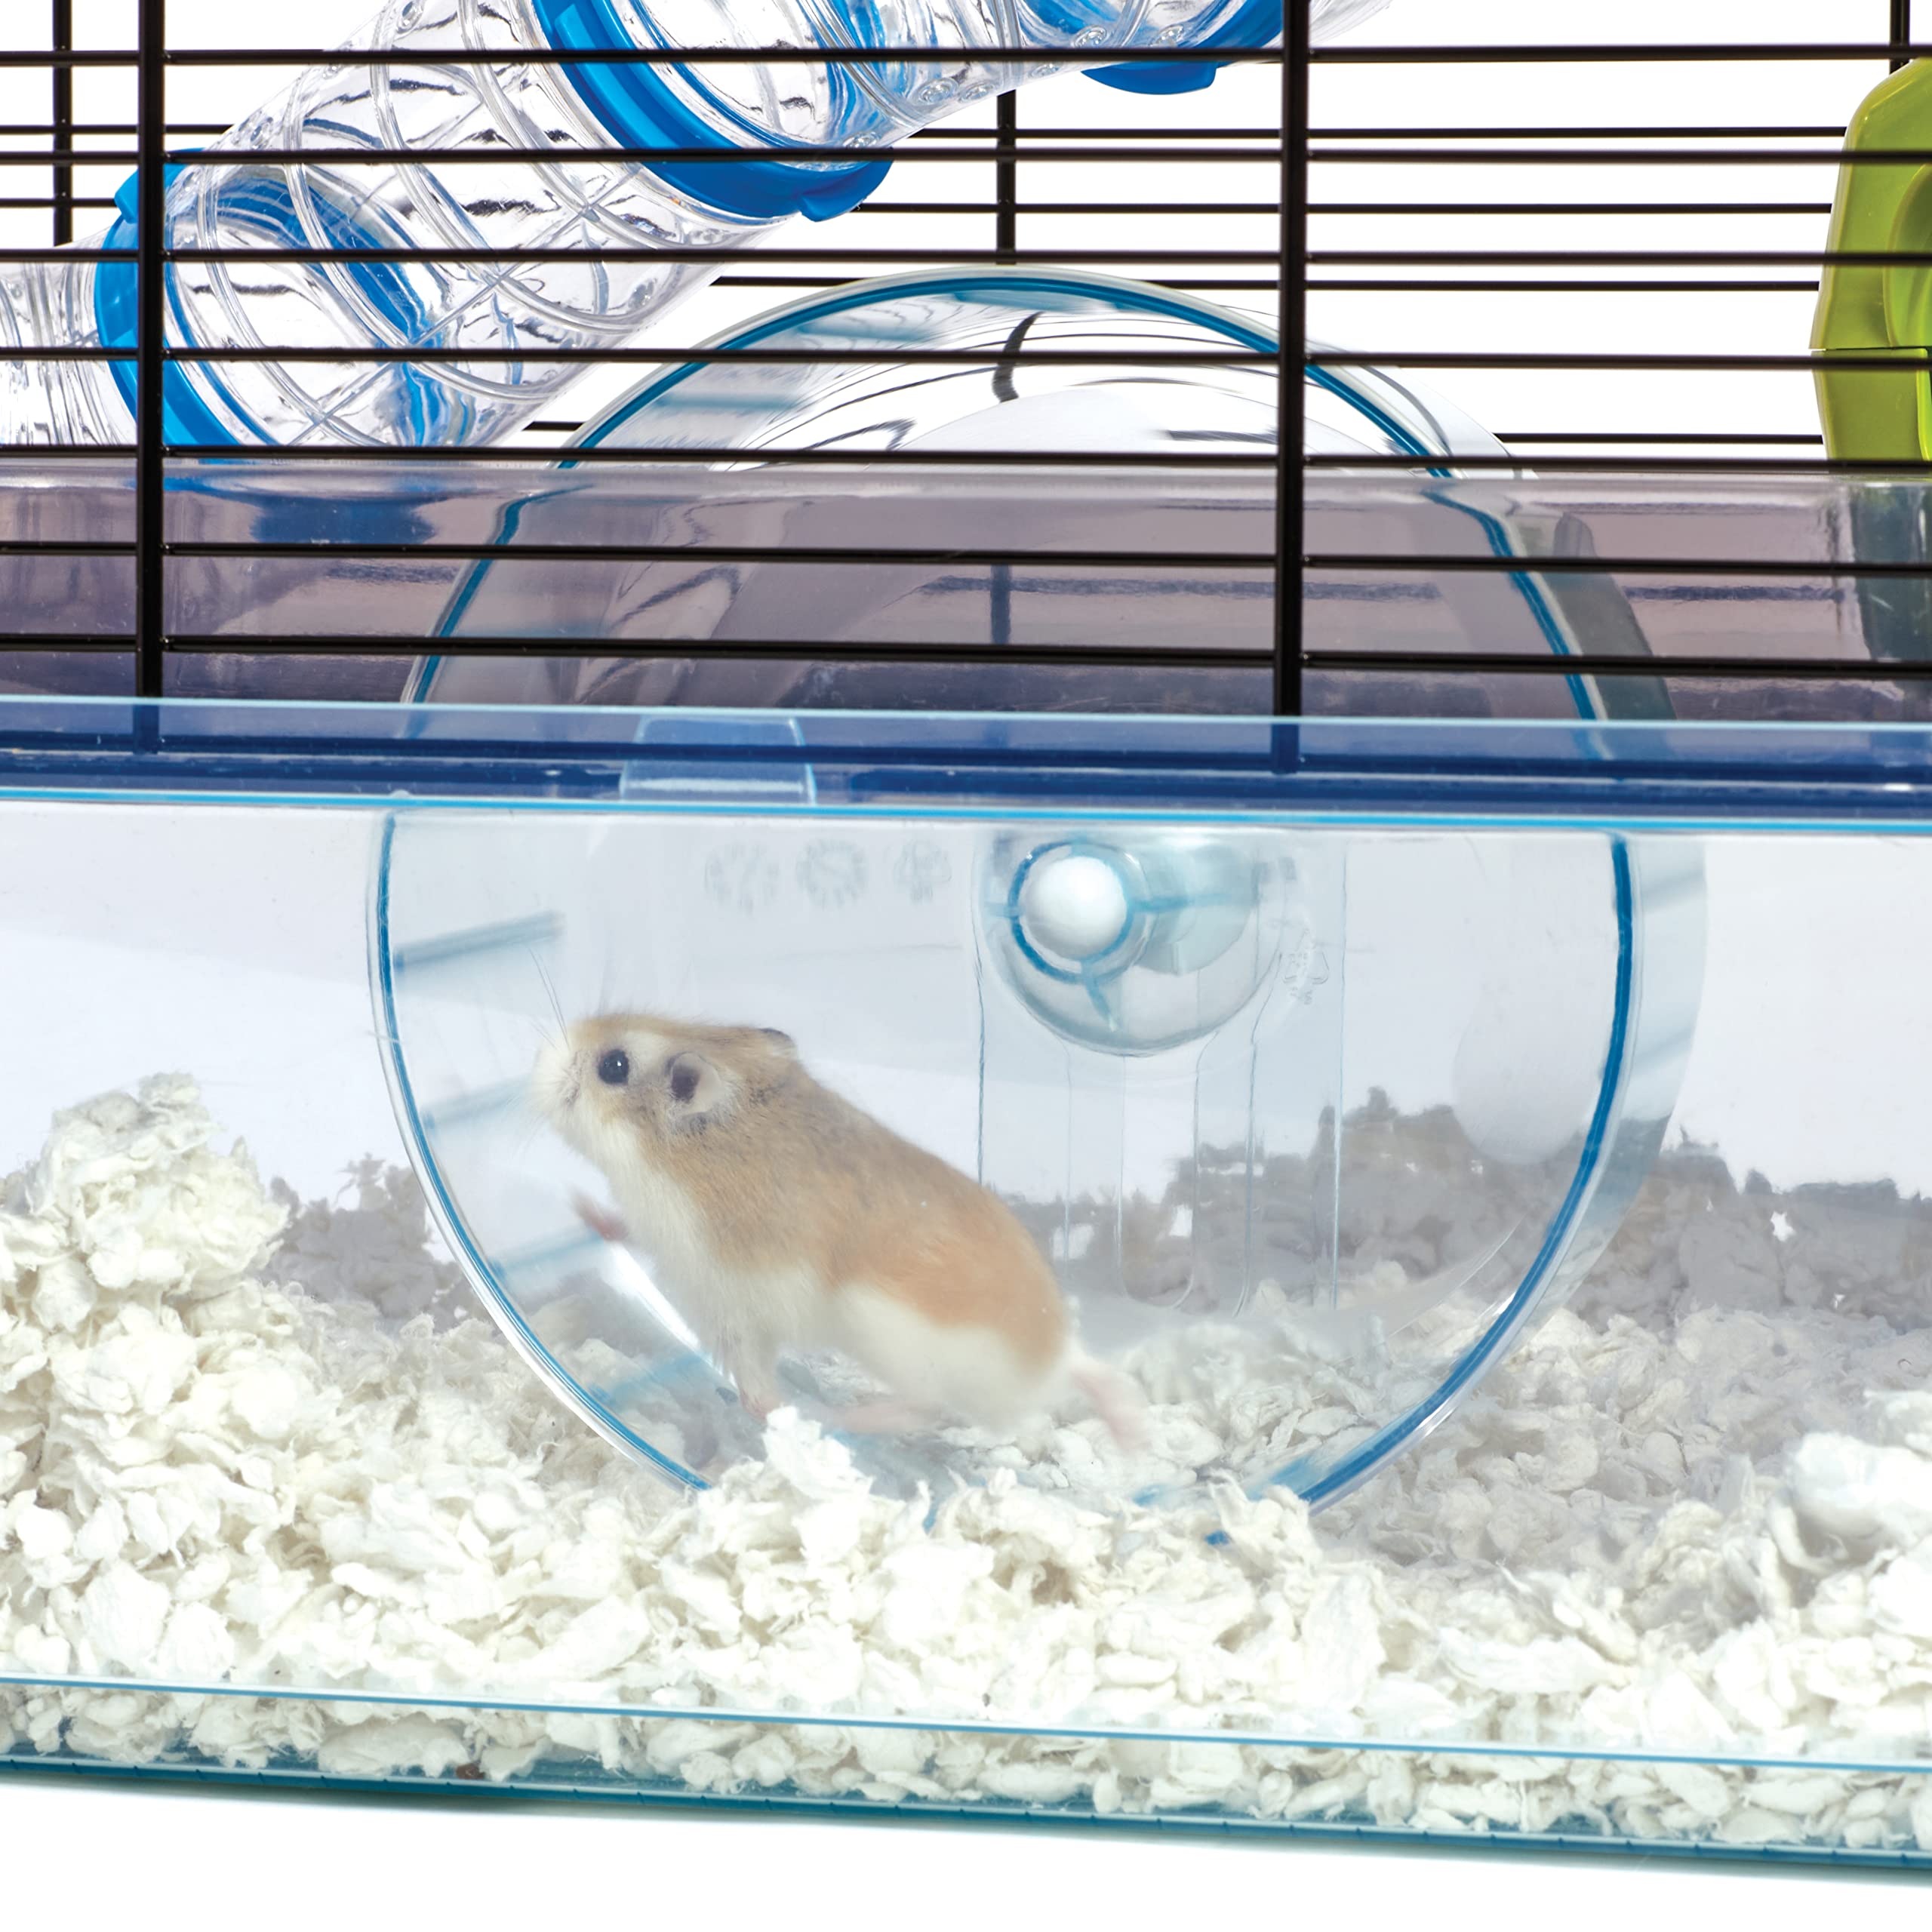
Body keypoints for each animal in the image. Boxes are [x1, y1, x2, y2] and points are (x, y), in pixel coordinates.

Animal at [533, 1012, 1140, 1447]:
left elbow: (756, 1387)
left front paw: (776, 1414)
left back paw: (836, 1416)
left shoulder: (727, 1305)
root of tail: (1046, 1366)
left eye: (613, 1066)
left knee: (919, 1408)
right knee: (1096, 1374)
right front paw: (581, 1206)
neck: (692, 1149)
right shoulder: (653, 1233)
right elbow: (619, 1226)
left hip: (888, 1339)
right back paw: (1132, 1437)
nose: (537, 1059)